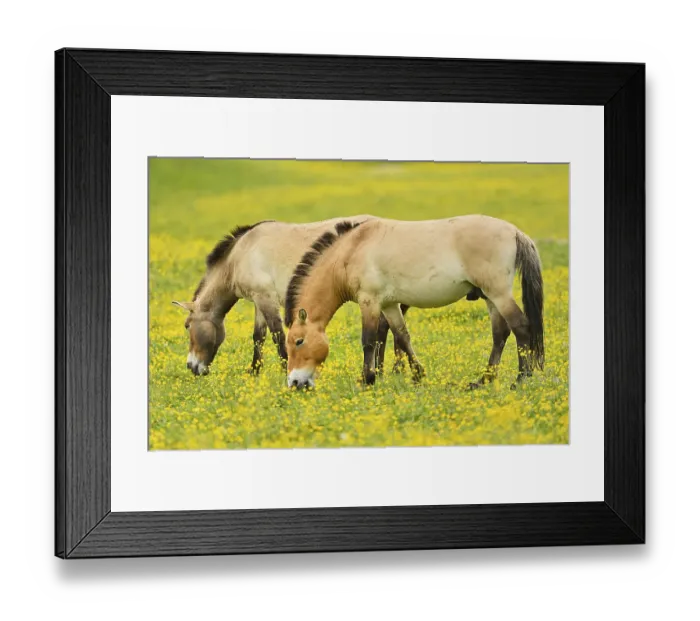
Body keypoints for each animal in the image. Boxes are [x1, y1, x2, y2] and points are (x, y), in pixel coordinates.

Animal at [171, 218, 409, 376]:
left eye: (187, 325)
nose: (191, 367)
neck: (240, 256)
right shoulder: (259, 301)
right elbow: (259, 337)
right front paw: (254, 372)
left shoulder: (266, 299)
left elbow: (277, 335)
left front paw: (285, 369)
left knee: (384, 330)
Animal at [284, 216, 544, 389]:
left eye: (299, 341)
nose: (294, 382)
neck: (353, 249)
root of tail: (514, 231)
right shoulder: (389, 305)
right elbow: (402, 335)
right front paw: (418, 374)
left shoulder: (369, 302)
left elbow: (368, 341)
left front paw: (367, 379)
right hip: (490, 297)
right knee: (500, 334)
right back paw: (483, 380)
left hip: (499, 294)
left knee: (521, 327)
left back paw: (521, 378)